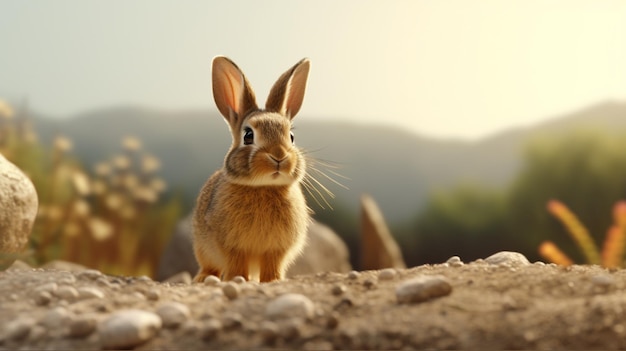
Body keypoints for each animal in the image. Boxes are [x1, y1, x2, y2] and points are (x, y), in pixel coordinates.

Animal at [191, 57, 310, 284]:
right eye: (248, 135)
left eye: (291, 137)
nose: (279, 156)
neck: (264, 186)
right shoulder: (232, 247)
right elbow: (236, 264)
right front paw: (237, 279)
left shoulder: (276, 250)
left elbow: (273, 266)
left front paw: (273, 281)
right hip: (202, 247)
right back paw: (202, 278)